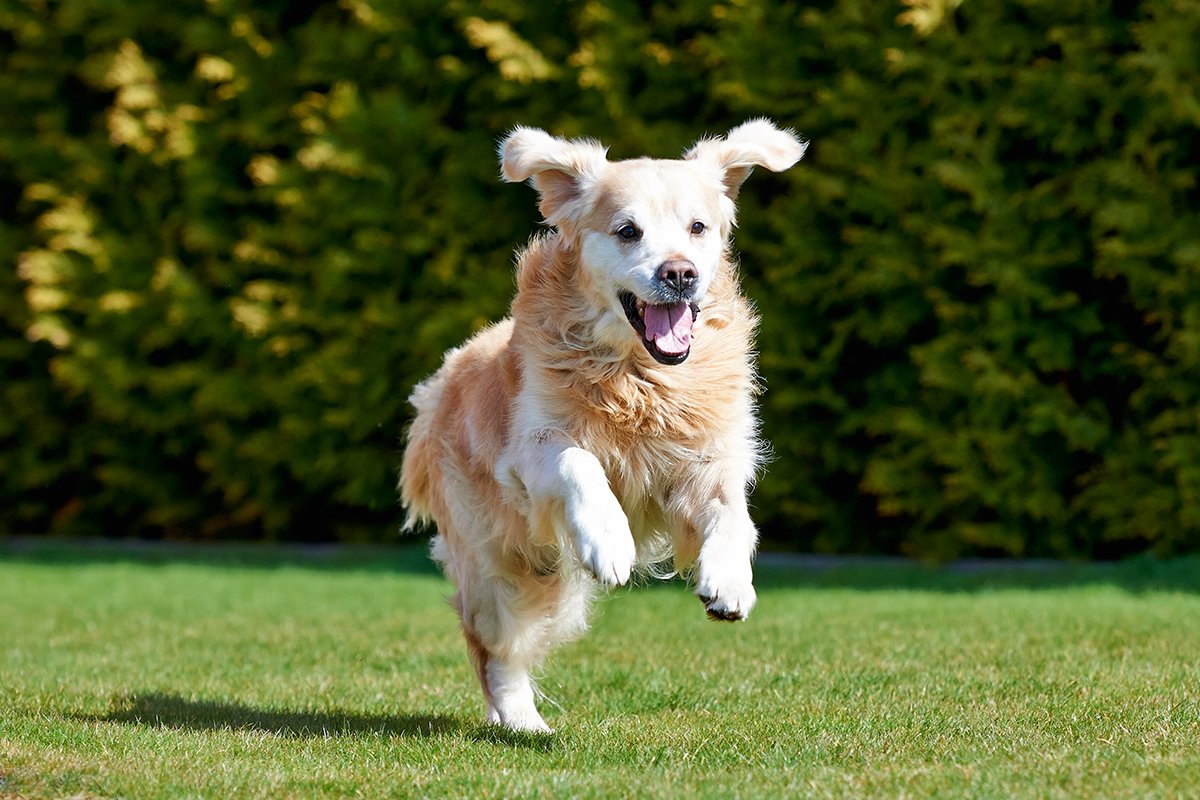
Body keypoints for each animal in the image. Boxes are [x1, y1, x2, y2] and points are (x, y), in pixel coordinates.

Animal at [400, 120, 806, 734]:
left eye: (698, 227)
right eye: (627, 231)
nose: (679, 274)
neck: (638, 377)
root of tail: (438, 386)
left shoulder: (702, 459)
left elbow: (732, 513)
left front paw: (730, 580)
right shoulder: (529, 453)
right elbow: (580, 461)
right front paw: (610, 540)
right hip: (505, 566)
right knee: (494, 651)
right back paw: (522, 722)